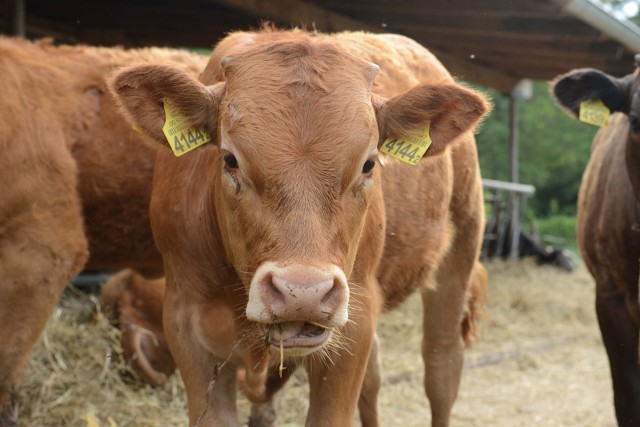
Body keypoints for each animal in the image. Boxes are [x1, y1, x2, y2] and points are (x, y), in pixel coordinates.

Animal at [111, 28, 490, 426]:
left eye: (369, 164)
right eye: (230, 159)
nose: (303, 293)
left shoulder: (354, 327)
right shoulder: (186, 327)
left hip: (460, 250)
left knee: (442, 365)